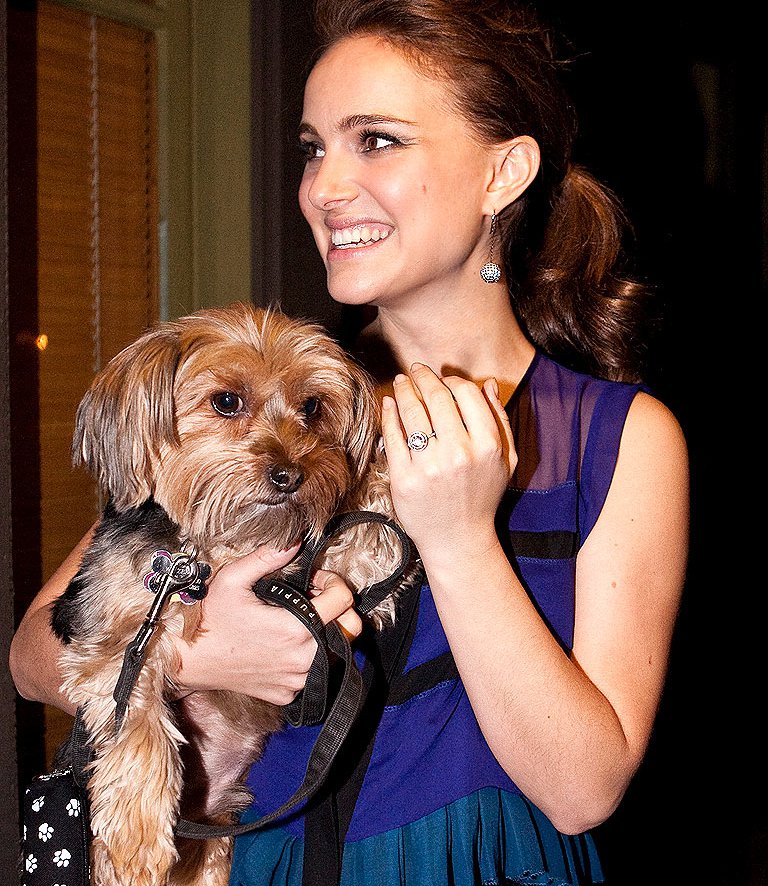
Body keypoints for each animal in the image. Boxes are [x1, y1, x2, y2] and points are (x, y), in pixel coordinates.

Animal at [51, 304, 412, 886]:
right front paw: (137, 838)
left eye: (312, 407)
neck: (218, 545)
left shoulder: (319, 580)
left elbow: (370, 555)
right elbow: (136, 710)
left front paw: (392, 463)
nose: (291, 474)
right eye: (226, 401)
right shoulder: (113, 632)